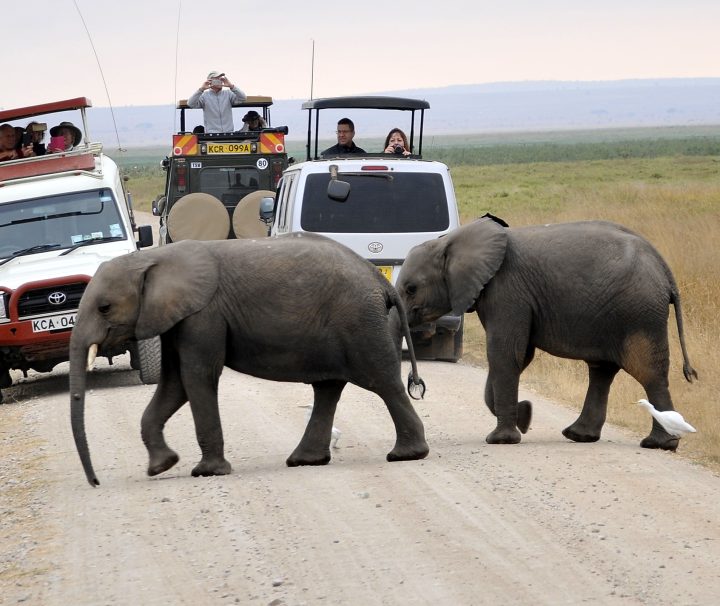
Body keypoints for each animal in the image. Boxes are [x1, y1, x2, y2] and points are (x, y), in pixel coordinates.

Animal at [69, 234, 428, 490]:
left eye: (104, 307)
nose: (95, 482)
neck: (151, 258)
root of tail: (380, 280)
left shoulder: (204, 315)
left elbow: (197, 376)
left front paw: (207, 472)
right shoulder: (176, 319)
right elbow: (175, 384)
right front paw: (161, 466)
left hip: (359, 322)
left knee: (383, 381)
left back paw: (407, 455)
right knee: (328, 389)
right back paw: (305, 461)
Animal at [394, 217, 696, 452]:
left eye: (411, 289)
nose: (416, 384)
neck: (450, 241)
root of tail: (665, 271)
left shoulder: (506, 290)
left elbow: (505, 353)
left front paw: (502, 439)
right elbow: (517, 354)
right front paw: (524, 416)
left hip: (639, 313)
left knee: (648, 372)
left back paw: (659, 444)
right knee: (602, 370)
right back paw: (579, 435)